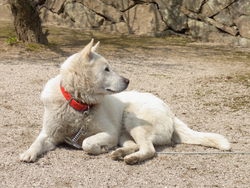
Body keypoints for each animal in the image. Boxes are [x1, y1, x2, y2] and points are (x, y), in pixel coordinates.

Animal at [19, 39, 230, 164]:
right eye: (106, 69)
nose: (128, 80)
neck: (78, 104)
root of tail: (169, 111)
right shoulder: (49, 134)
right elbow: (37, 142)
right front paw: (29, 153)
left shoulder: (109, 133)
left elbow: (87, 142)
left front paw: (98, 149)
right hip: (125, 132)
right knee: (135, 145)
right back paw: (120, 153)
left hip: (133, 119)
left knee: (149, 150)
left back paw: (131, 158)